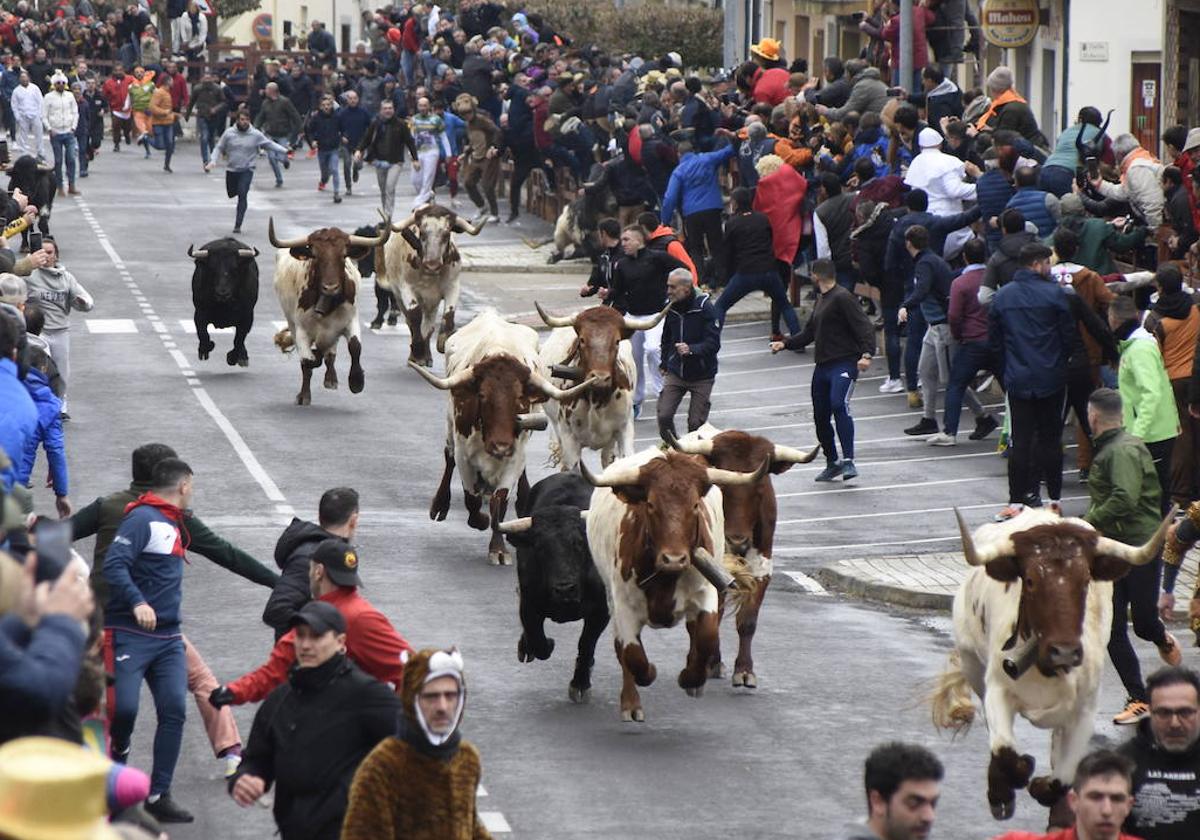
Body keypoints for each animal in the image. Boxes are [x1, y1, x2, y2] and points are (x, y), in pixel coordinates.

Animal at [537, 303, 672, 472]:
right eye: (582, 339)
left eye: (617, 341)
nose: (600, 378)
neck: (597, 398)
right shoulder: (569, 438)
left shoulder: (624, 429)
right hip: (556, 427)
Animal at [583, 446, 768, 720]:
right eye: (650, 504)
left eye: (694, 505)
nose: (674, 559)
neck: (665, 578)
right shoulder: (623, 605)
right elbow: (632, 655)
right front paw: (648, 674)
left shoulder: (706, 594)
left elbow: (706, 636)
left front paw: (691, 678)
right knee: (622, 650)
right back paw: (631, 704)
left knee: (694, 631)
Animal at [662, 422, 820, 686]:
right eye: (723, 486)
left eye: (760, 487)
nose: (737, 540)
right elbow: (713, 614)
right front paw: (712, 663)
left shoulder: (762, 569)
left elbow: (748, 621)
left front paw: (745, 671)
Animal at [926, 501, 1171, 825]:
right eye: (1029, 580)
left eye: (1085, 581)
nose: (1064, 652)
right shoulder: (996, 689)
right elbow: (1005, 754)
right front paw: (1009, 786)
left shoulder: (1084, 711)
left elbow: (1061, 779)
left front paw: (1047, 792)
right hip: (971, 664)